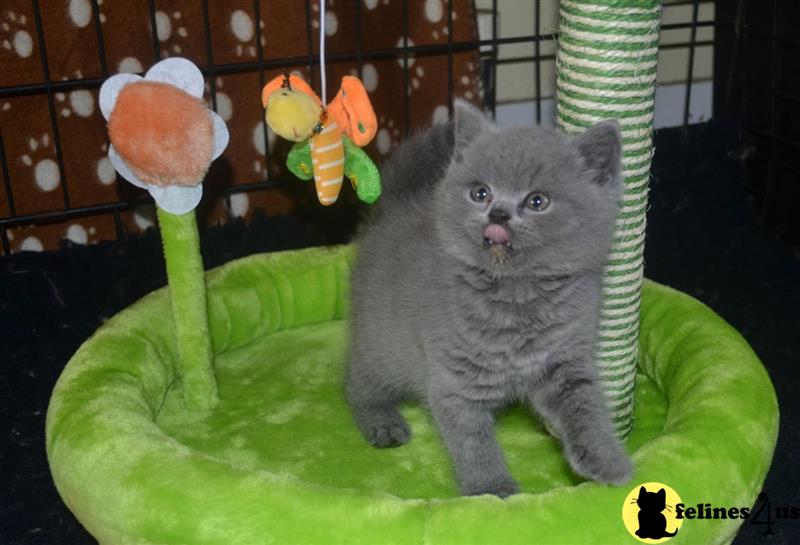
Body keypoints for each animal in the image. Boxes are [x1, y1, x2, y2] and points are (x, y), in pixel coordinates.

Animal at [346, 101, 636, 498]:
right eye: (480, 193)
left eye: (537, 201)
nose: (498, 212)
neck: (516, 296)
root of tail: (388, 211)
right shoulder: (455, 378)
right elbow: (472, 439)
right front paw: (491, 489)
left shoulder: (565, 361)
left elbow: (585, 407)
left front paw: (607, 460)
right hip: (381, 344)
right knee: (358, 384)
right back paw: (382, 422)